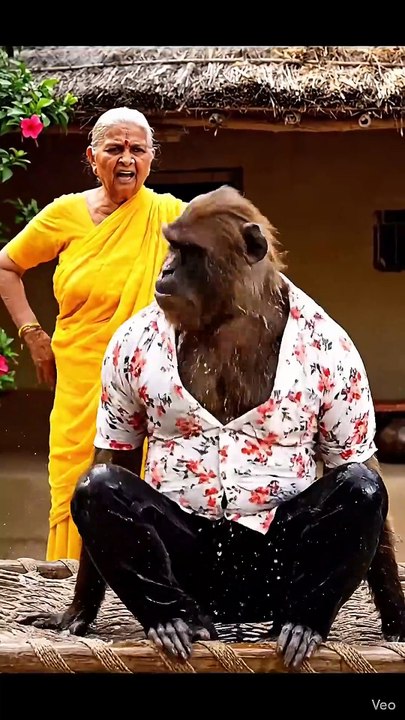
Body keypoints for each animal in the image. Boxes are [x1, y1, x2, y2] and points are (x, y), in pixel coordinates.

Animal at [17, 186, 405, 669]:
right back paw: (176, 619)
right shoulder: (123, 347)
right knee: (100, 486)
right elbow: (113, 457)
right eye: (171, 246)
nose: (166, 269)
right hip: (201, 577)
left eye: (188, 251)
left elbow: (357, 464)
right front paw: (76, 612)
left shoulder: (341, 355)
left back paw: (301, 623)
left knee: (360, 486)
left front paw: (397, 619)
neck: (233, 312)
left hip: (264, 584)